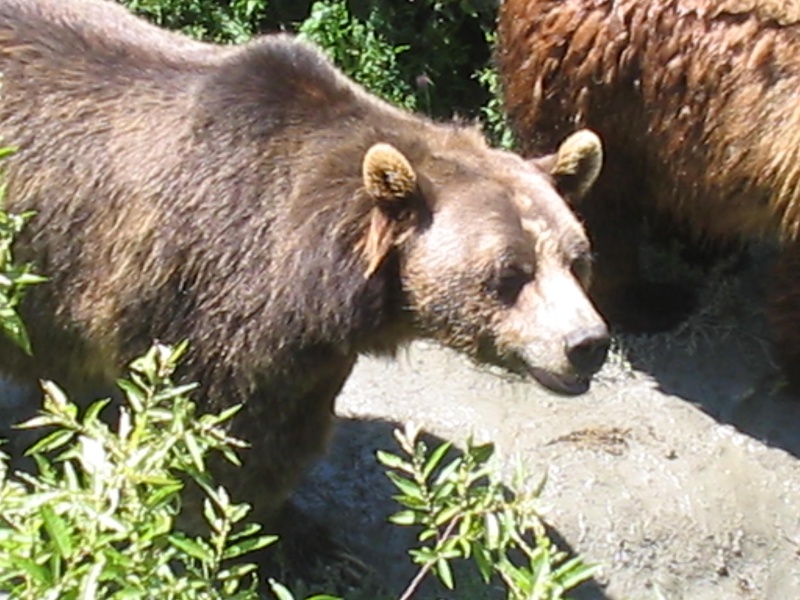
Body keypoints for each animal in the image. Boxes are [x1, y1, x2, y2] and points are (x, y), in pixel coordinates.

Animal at [0, 0, 608, 576]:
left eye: (577, 259)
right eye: (508, 273)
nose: (587, 343)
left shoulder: (309, 351)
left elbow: (288, 435)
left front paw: (300, 536)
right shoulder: (204, 303)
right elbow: (212, 440)